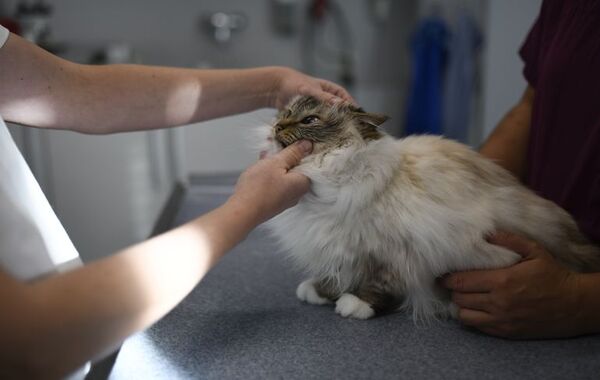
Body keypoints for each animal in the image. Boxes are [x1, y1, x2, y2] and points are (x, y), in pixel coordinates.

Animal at [260, 95, 600, 320]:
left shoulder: (388, 252)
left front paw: (355, 305)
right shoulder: (340, 248)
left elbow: (378, 284)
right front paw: (318, 292)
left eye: (310, 121)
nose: (276, 126)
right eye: (286, 112)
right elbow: (335, 276)